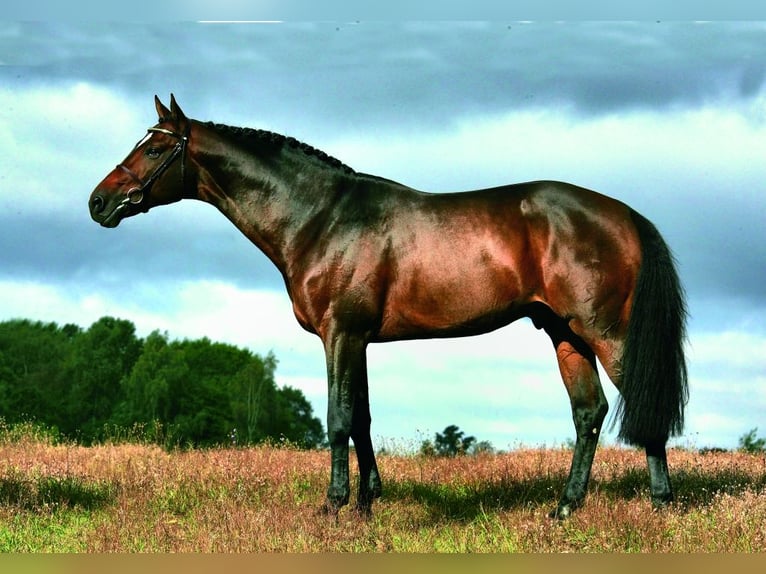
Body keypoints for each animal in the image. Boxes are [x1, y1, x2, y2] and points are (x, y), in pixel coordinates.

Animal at [90, 95, 688, 520]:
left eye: (153, 148)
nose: (99, 202)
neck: (321, 216)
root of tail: (627, 215)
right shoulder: (357, 339)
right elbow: (362, 417)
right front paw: (366, 503)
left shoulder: (340, 333)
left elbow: (337, 418)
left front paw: (333, 507)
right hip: (564, 333)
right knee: (588, 413)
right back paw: (564, 508)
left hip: (605, 331)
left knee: (642, 402)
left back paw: (661, 503)